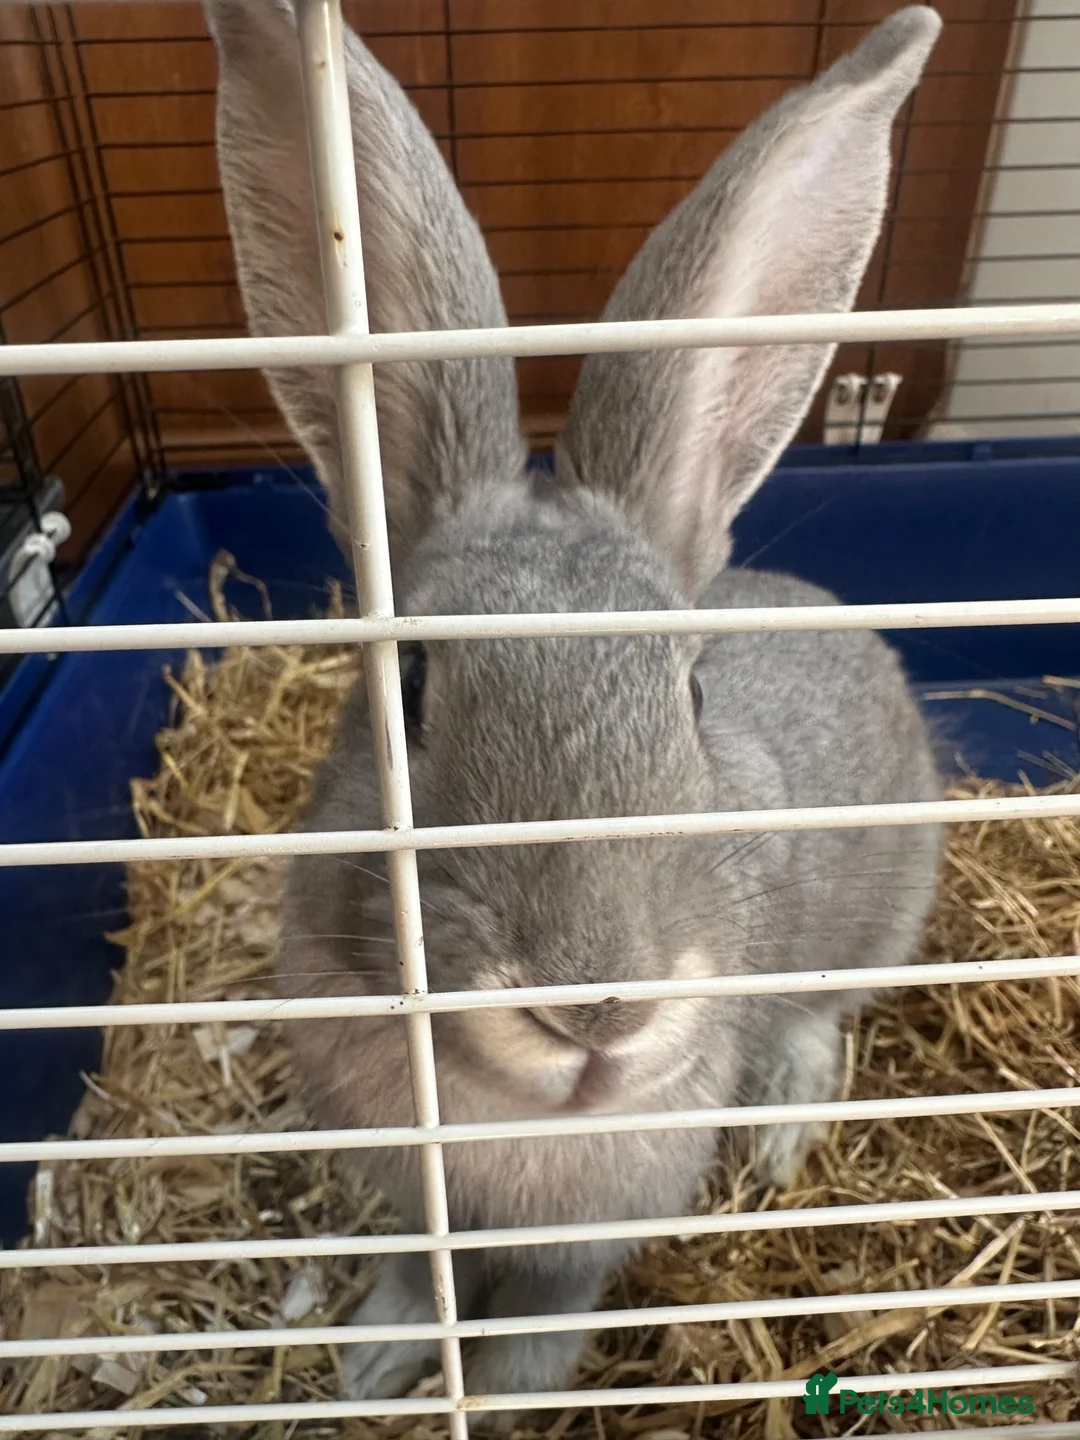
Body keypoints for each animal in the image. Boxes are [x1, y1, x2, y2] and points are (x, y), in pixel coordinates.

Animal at [205, 0, 944, 1417]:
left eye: (691, 690)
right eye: (409, 694)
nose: (594, 1011)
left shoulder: (588, 1228)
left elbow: (545, 1308)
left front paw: (501, 1395)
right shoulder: (412, 1192)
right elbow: (419, 1272)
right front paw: (372, 1360)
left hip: (879, 919)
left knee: (821, 1019)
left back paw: (782, 1131)